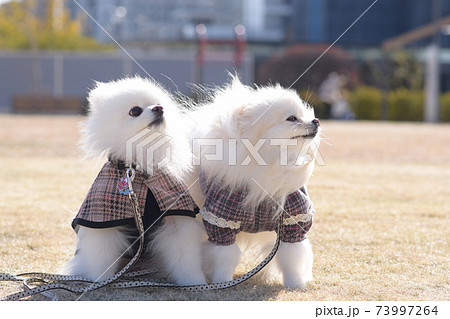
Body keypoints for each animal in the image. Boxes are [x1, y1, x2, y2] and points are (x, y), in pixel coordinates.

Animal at [62, 77, 207, 284]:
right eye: (135, 111)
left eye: (160, 104)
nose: (159, 108)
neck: (138, 170)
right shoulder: (104, 223)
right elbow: (101, 259)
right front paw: (99, 281)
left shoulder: (176, 221)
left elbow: (185, 259)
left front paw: (194, 282)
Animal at [190, 78, 320, 290]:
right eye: (292, 118)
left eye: (305, 114)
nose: (316, 121)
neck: (270, 161)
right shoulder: (220, 220)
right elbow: (224, 257)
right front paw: (221, 282)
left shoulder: (293, 218)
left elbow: (291, 256)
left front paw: (295, 284)